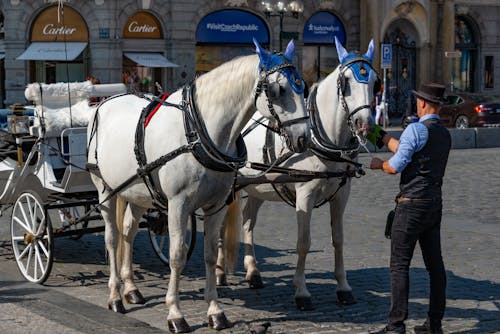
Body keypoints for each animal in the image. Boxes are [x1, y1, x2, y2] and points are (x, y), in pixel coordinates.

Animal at [88, 39, 310, 332]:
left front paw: (215, 311)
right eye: (278, 90)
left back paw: (131, 288)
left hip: (138, 192)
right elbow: (177, 256)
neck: (198, 132)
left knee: (128, 232)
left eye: (302, 87)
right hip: (104, 189)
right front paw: (175, 313)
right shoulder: (178, 205)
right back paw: (115, 295)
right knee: (112, 238)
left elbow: (209, 254)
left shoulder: (217, 205)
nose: (303, 138)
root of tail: (106, 101)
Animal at [219, 37, 378, 310]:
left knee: (248, 220)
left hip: (258, 186)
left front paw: (343, 287)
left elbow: (338, 239)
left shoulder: (341, 195)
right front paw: (302, 291)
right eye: (346, 82)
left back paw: (253, 272)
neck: (325, 141)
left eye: (376, 82)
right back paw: (219, 274)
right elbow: (303, 243)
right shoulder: (305, 195)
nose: (364, 124)